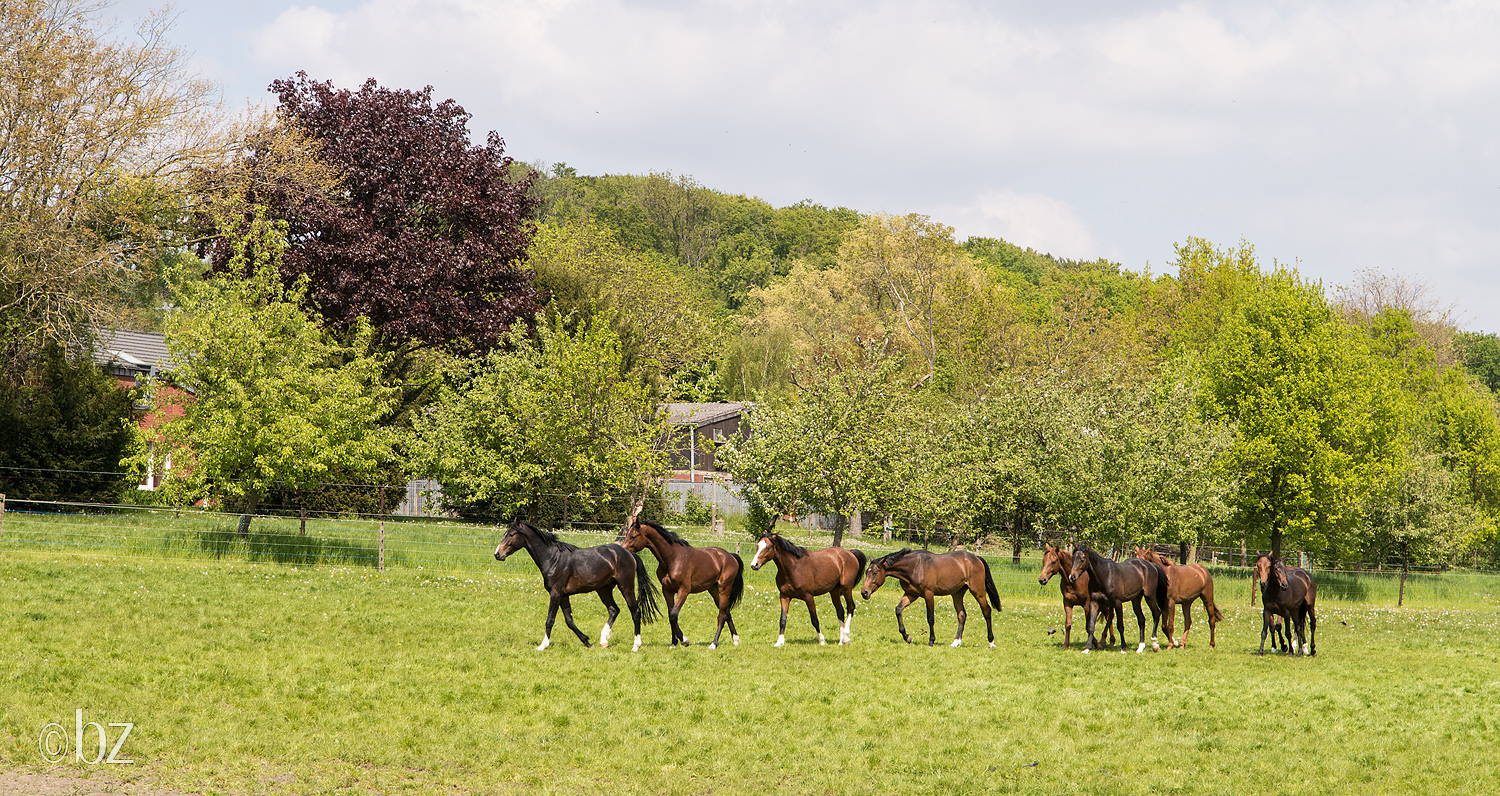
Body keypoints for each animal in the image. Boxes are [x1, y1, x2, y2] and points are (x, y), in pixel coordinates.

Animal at [495, 521, 660, 650]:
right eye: (505, 533)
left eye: (511, 534)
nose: (497, 554)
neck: (553, 558)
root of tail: (629, 553)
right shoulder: (563, 596)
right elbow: (569, 621)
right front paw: (587, 642)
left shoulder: (555, 593)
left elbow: (550, 620)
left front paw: (542, 645)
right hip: (604, 589)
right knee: (614, 609)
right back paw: (603, 641)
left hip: (626, 586)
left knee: (635, 611)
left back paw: (635, 646)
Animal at [615, 521, 744, 650]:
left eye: (633, 536)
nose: (623, 551)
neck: (673, 558)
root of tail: (731, 556)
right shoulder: (667, 590)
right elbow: (670, 615)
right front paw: (674, 642)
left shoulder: (683, 590)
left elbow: (674, 615)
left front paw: (684, 640)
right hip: (713, 590)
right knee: (726, 611)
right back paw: (735, 639)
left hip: (724, 588)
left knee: (721, 615)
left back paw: (714, 643)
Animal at [864, 551, 1002, 650]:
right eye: (866, 572)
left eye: (875, 572)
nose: (864, 592)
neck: (915, 566)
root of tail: (976, 558)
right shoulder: (911, 594)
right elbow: (898, 609)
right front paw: (907, 637)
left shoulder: (928, 594)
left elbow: (930, 618)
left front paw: (931, 641)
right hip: (957, 594)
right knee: (962, 615)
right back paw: (956, 642)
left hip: (978, 592)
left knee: (986, 611)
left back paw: (991, 642)